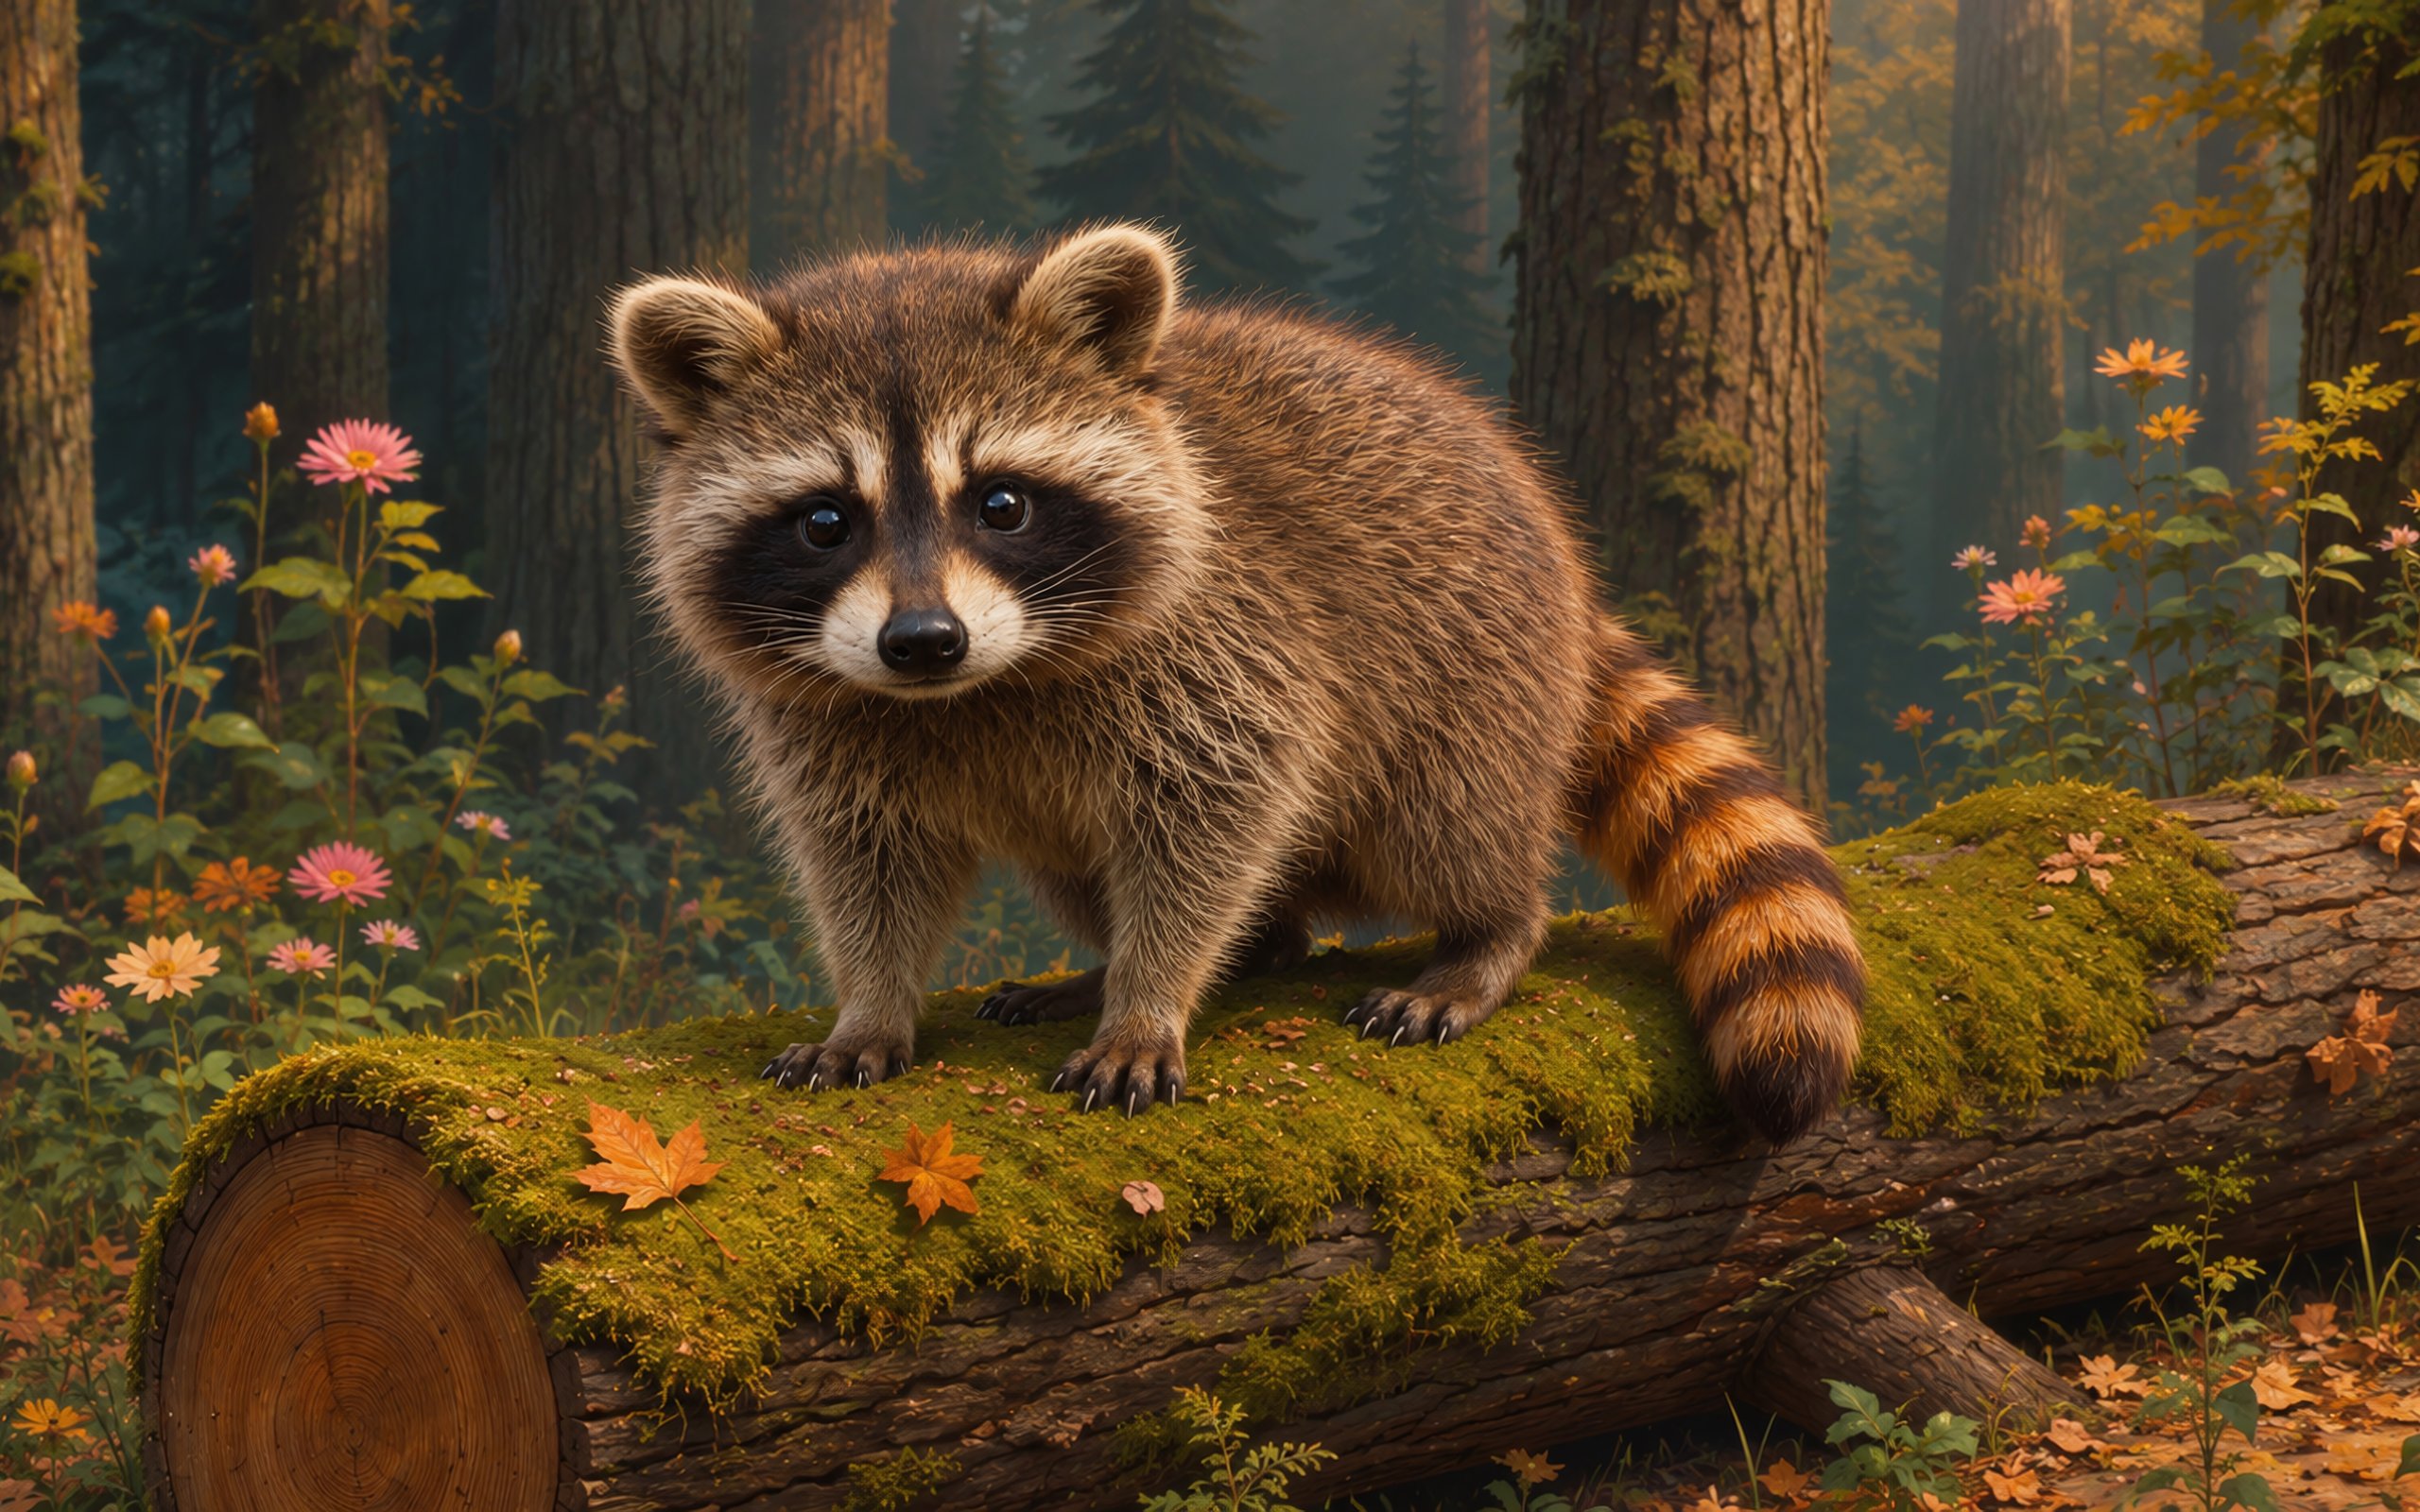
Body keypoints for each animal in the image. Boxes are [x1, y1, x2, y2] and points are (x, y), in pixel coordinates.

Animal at [608, 224, 1865, 1142]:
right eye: (826, 521)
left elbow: (1214, 820)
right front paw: (872, 1001)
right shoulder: (830, 716)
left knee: (1446, 830)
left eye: (999, 503)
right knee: (1097, 873)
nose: (923, 640)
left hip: (1474, 682)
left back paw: (1489, 932)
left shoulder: (1227, 644)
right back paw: (1157, 954)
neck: (978, 689)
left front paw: (1151, 995)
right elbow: (865, 859)